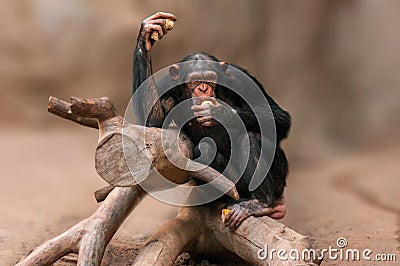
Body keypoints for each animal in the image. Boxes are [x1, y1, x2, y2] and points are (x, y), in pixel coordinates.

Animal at [132, 12, 290, 229]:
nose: (203, 88)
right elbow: (152, 124)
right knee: (205, 149)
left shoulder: (241, 79)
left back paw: (261, 202)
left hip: (280, 177)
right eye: (195, 80)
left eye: (209, 78)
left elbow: (279, 117)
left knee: (251, 136)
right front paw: (146, 35)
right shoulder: (167, 87)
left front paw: (220, 113)